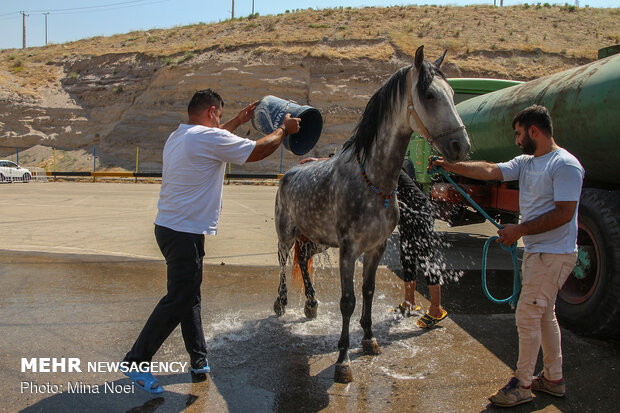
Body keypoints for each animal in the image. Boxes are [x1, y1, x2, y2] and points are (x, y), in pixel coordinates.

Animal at [274, 45, 468, 384]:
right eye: (430, 94)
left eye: (453, 93)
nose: (461, 146)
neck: (373, 182)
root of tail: (289, 174)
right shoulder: (348, 251)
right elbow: (348, 302)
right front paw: (342, 362)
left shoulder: (375, 248)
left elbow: (368, 292)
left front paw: (368, 340)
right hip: (286, 234)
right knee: (284, 263)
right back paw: (282, 304)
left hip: (317, 239)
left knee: (303, 259)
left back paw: (311, 304)